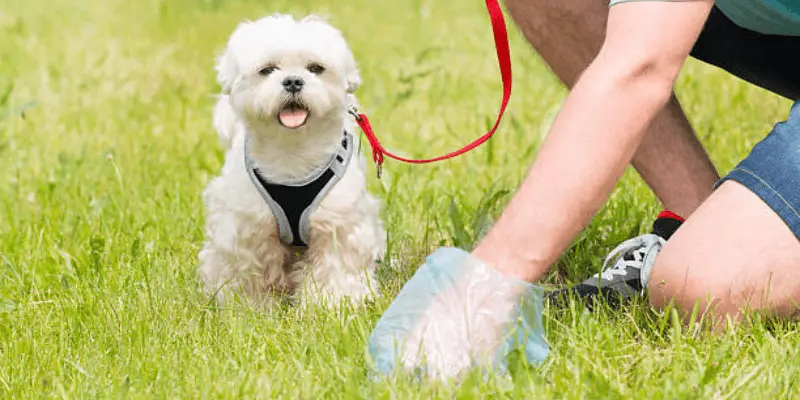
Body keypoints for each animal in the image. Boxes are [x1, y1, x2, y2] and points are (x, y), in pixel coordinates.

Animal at [199, 14, 388, 308]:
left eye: (315, 68)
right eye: (267, 70)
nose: (293, 81)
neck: (292, 152)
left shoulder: (338, 221)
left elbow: (335, 264)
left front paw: (332, 303)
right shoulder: (249, 227)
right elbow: (251, 270)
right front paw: (252, 306)